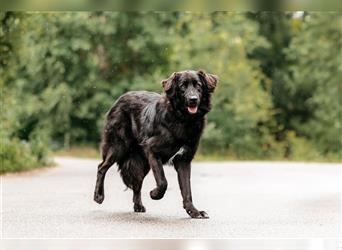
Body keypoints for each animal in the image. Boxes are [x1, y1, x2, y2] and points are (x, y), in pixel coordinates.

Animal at [92, 69, 218, 218]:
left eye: (198, 85)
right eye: (182, 86)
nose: (193, 99)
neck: (183, 119)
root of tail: (119, 99)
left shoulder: (184, 160)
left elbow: (187, 190)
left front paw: (193, 211)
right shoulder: (152, 150)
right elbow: (163, 182)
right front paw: (155, 194)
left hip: (143, 162)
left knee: (137, 181)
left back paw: (138, 206)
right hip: (118, 147)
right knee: (101, 167)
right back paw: (98, 196)